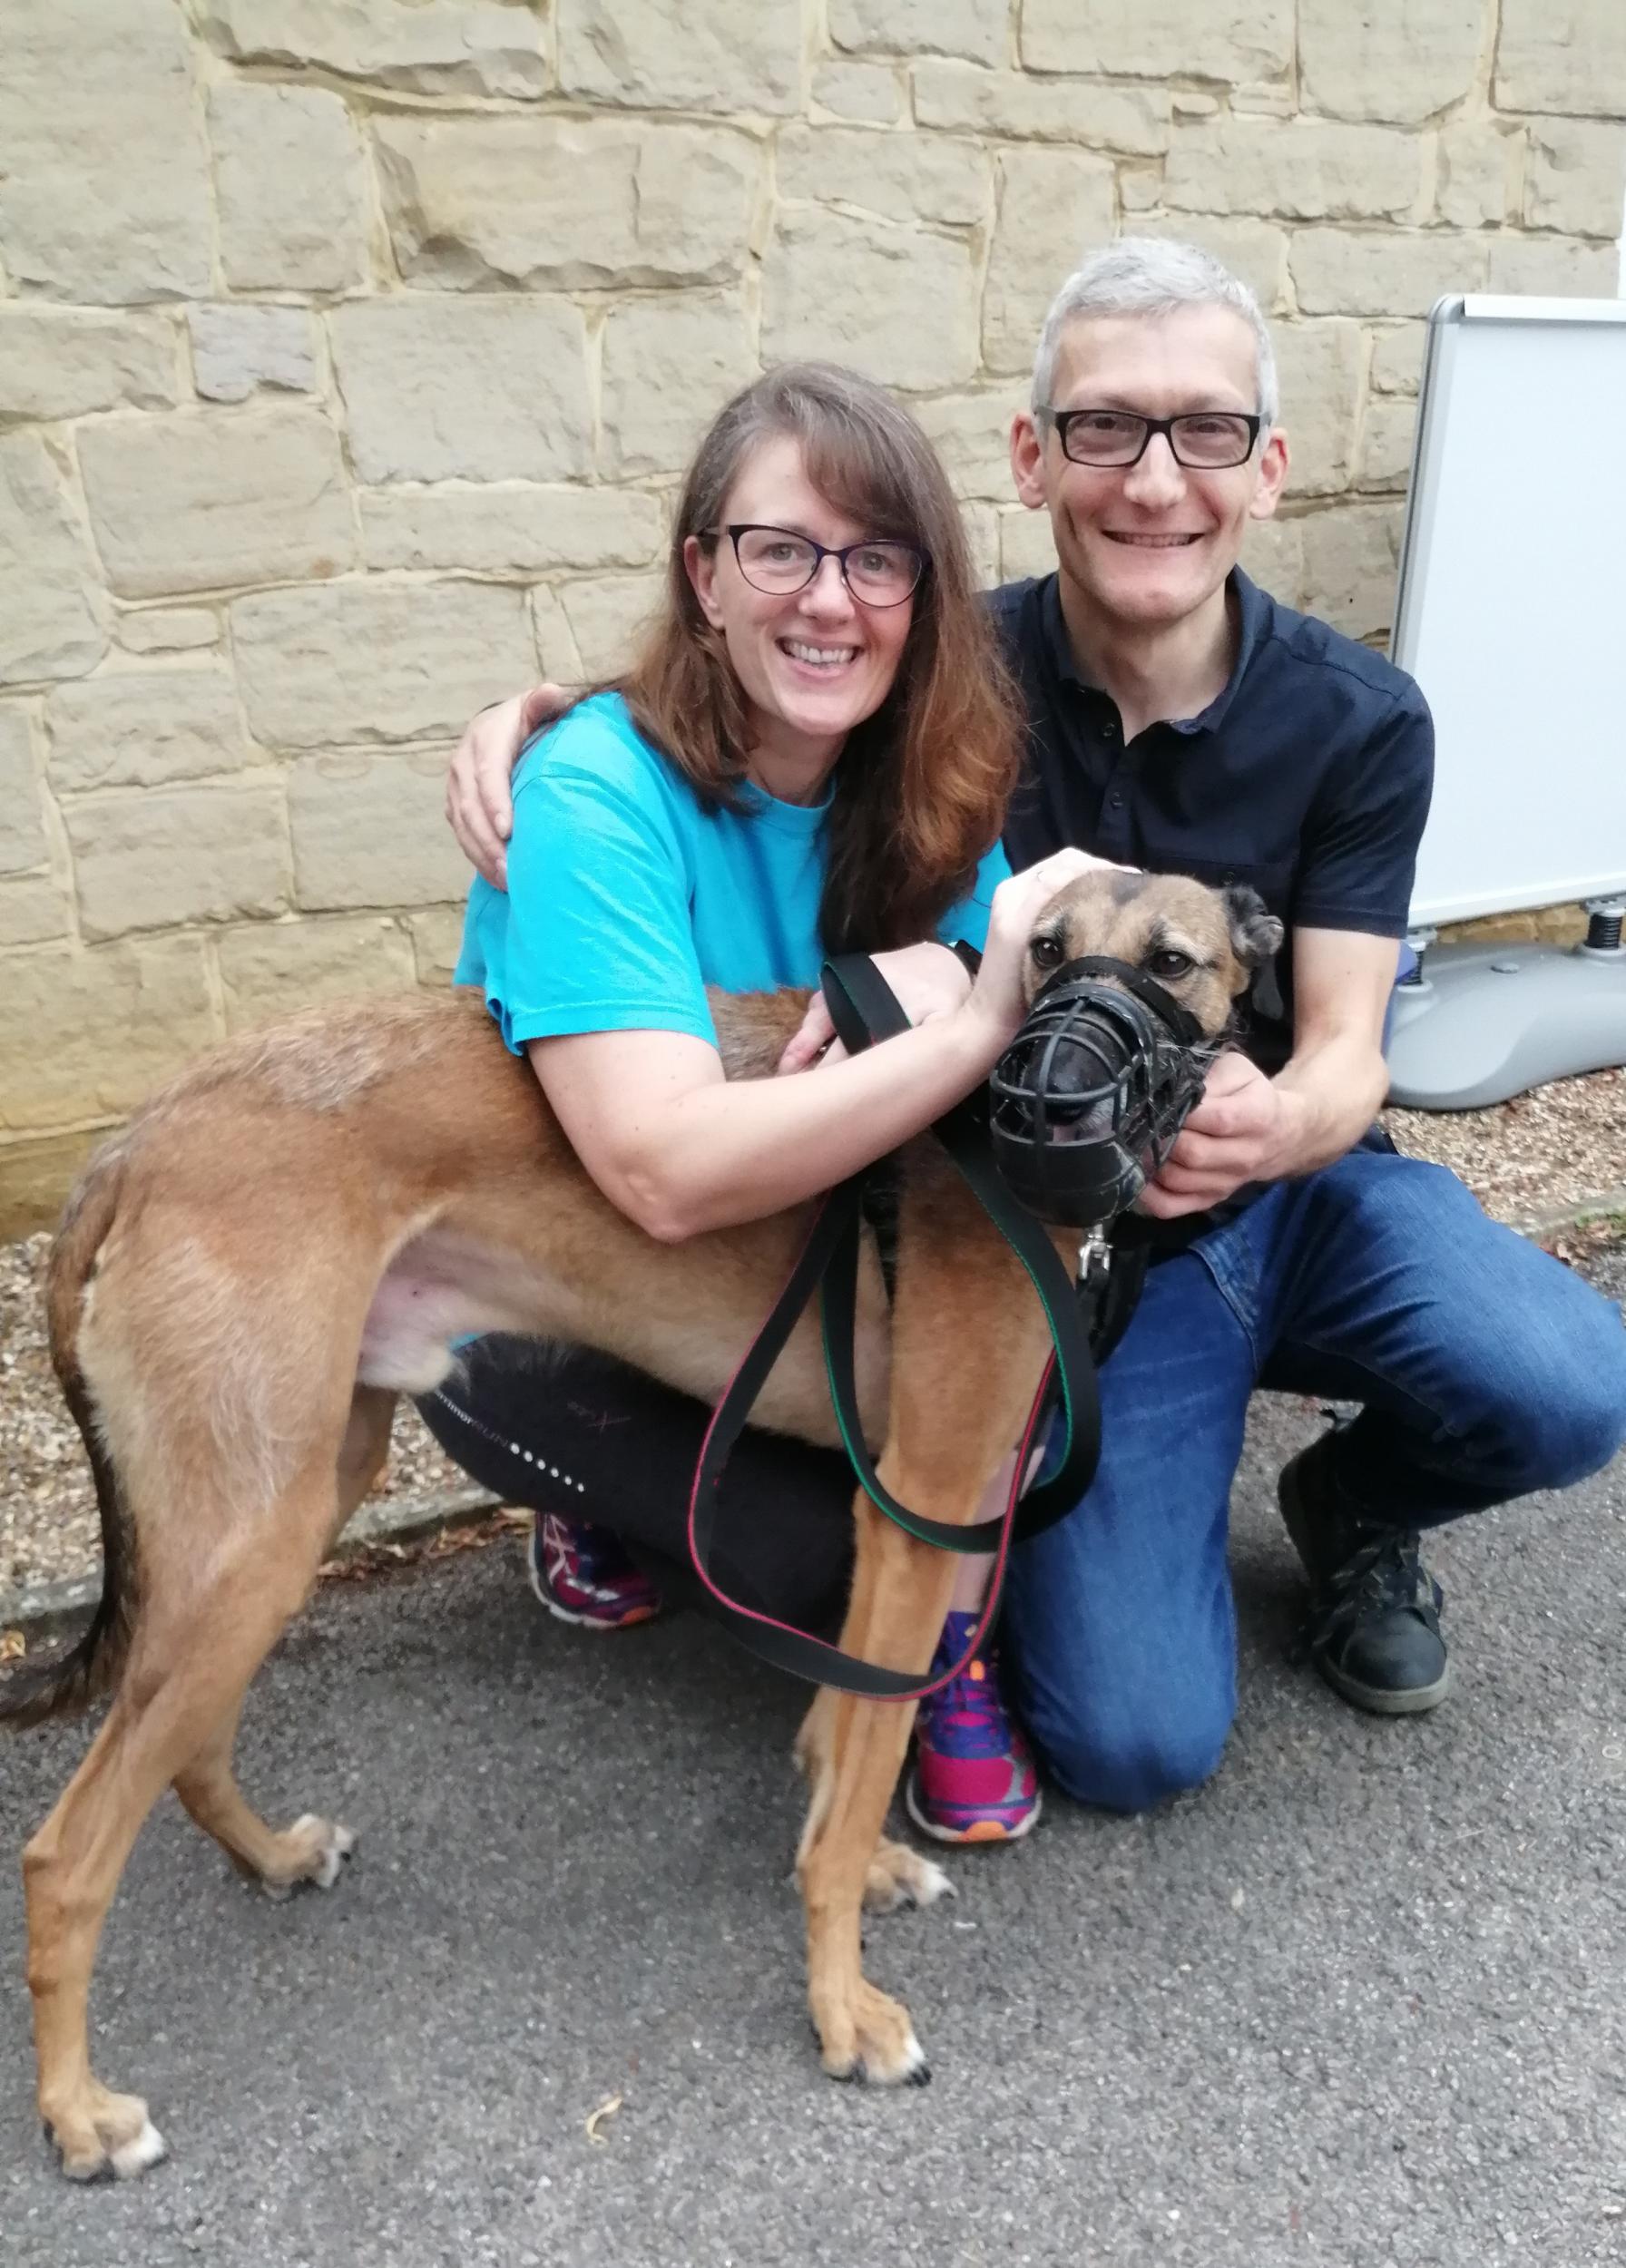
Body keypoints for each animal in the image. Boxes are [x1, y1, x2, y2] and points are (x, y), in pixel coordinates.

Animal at [9, 866, 1278, 2177]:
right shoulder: (923, 1505)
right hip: (251, 1542)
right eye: (1043, 949)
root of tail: (135, 1143)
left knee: (187, 1746)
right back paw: (77, 2110)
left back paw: (272, 1858)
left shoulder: (918, 1507)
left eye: (1170, 960)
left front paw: (859, 1863)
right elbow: (858, 1768)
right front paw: (842, 2008)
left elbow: (845, 1736)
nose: (1053, 1099)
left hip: (291, 1506)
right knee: (64, 1857)